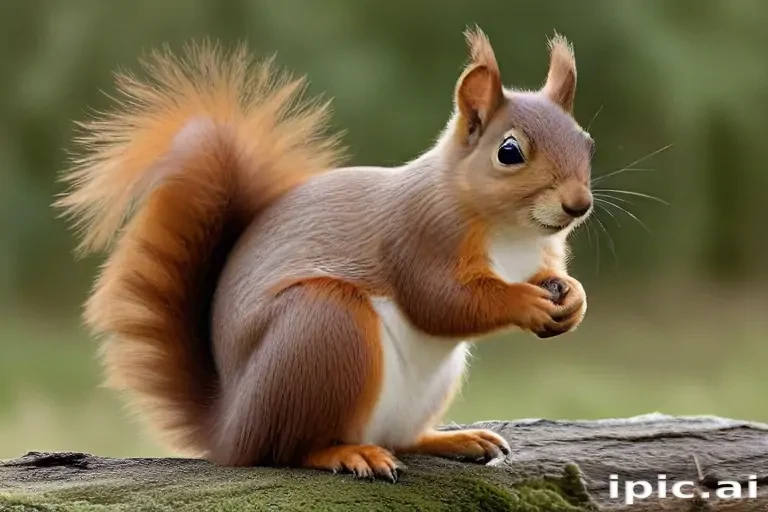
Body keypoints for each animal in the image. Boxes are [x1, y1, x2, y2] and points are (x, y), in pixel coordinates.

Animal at [56, 27, 593, 481]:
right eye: (509, 152)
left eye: (586, 142)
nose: (578, 204)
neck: (512, 233)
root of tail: (230, 428)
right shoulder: (420, 236)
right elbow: (440, 302)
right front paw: (524, 302)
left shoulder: (541, 253)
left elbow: (547, 277)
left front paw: (573, 298)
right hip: (324, 328)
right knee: (289, 449)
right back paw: (348, 453)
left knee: (400, 437)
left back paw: (452, 440)